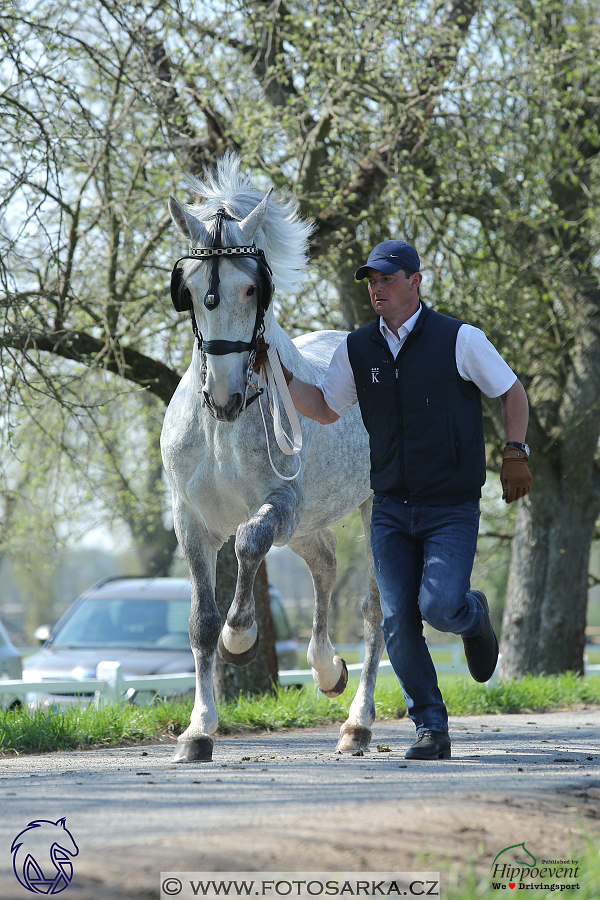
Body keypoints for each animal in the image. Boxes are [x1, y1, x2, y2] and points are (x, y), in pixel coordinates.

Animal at [161, 155, 384, 760]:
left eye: (250, 288)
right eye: (191, 289)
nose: (225, 394)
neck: (222, 428)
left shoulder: (281, 502)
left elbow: (248, 543)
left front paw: (241, 637)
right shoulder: (190, 521)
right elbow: (200, 622)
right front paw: (198, 730)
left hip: (369, 511)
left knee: (376, 612)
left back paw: (357, 722)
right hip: (309, 524)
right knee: (325, 562)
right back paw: (327, 669)